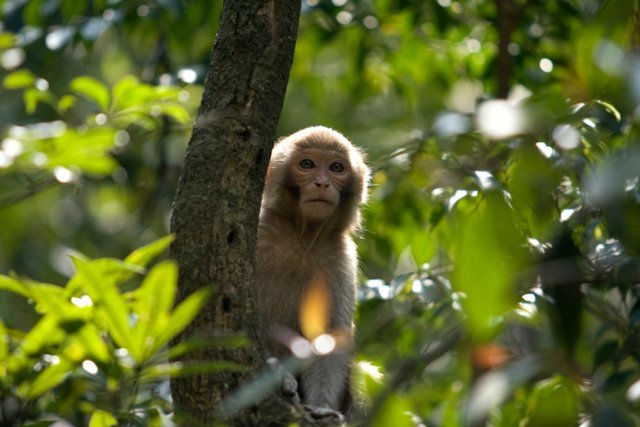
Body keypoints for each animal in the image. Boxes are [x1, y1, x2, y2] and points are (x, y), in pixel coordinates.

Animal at [255, 126, 369, 419]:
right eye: (307, 164)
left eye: (336, 168)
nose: (322, 183)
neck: (302, 236)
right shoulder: (260, 232)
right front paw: (277, 374)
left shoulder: (340, 258)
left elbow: (329, 339)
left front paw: (321, 409)